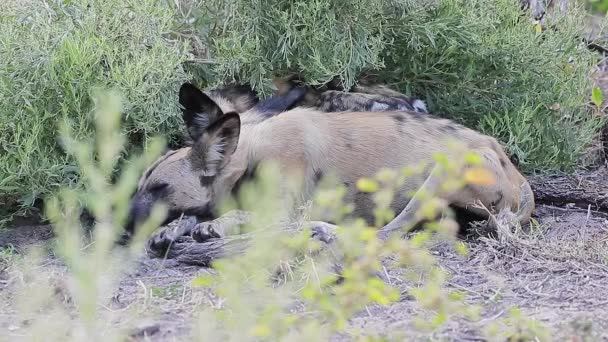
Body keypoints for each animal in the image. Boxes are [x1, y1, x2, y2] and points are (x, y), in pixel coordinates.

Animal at [123, 81, 532, 244]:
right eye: (140, 185)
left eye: (159, 188)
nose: (121, 223)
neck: (249, 156)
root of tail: (517, 174)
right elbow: (195, 215)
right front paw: (172, 228)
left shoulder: (282, 208)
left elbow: (237, 215)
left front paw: (212, 227)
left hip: (443, 171)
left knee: (384, 233)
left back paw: (323, 230)